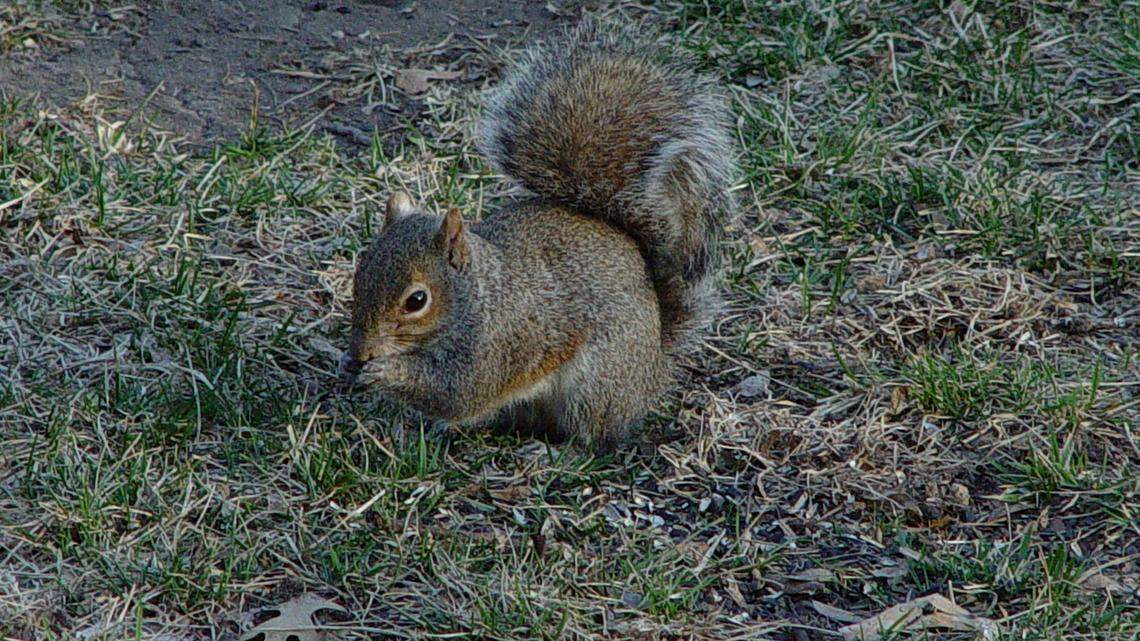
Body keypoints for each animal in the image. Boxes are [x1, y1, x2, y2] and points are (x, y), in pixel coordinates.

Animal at [338, 21, 736, 448]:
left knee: (595, 435)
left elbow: (458, 393)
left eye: (417, 300)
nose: (361, 352)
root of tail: (653, 369)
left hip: (597, 384)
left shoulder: (496, 345)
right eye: (360, 272)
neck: (476, 295)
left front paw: (385, 372)